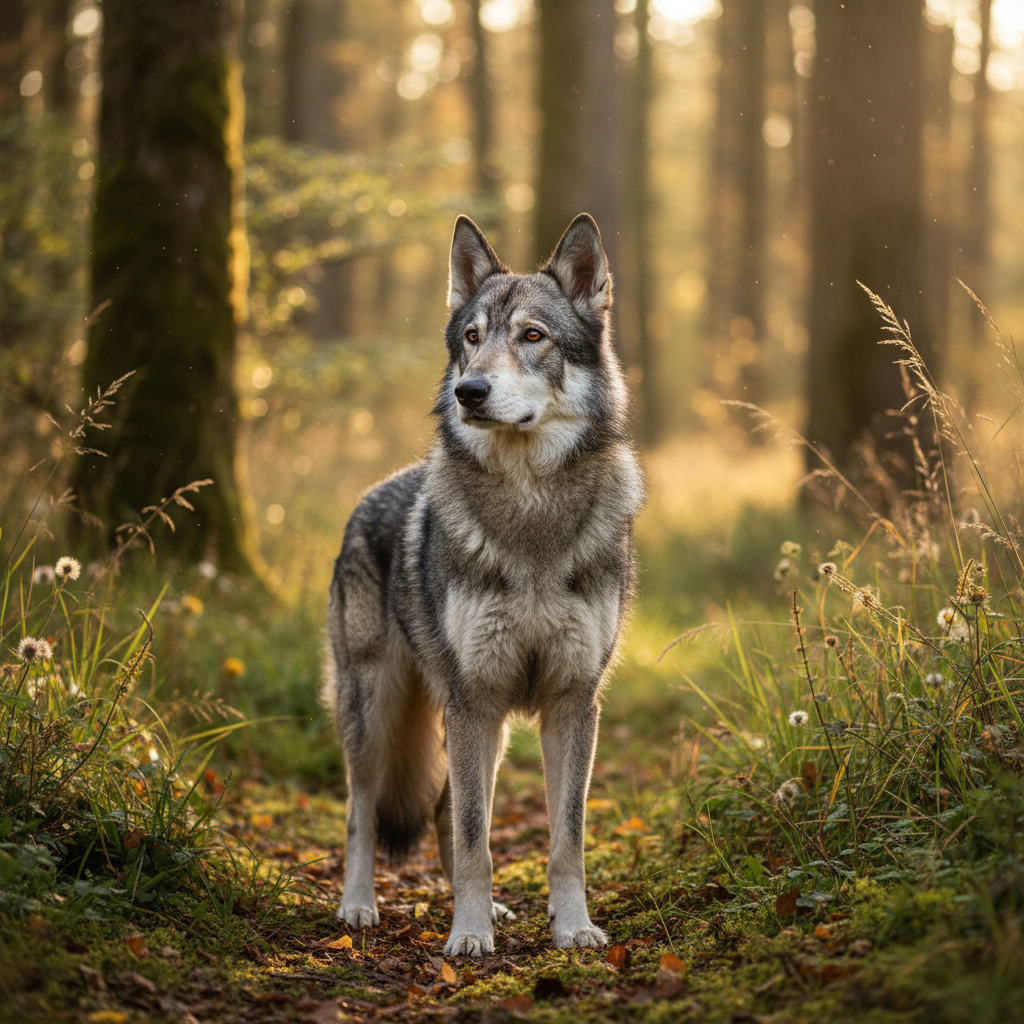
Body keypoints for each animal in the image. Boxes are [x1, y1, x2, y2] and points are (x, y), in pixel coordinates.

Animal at [322, 213, 643, 956]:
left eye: (532, 336)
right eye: (472, 338)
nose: (470, 392)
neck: (529, 518)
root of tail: (373, 490)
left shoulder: (571, 703)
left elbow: (564, 840)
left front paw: (572, 927)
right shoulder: (475, 700)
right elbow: (476, 839)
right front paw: (468, 936)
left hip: (470, 728)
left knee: (443, 808)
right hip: (376, 712)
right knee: (361, 812)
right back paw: (358, 907)